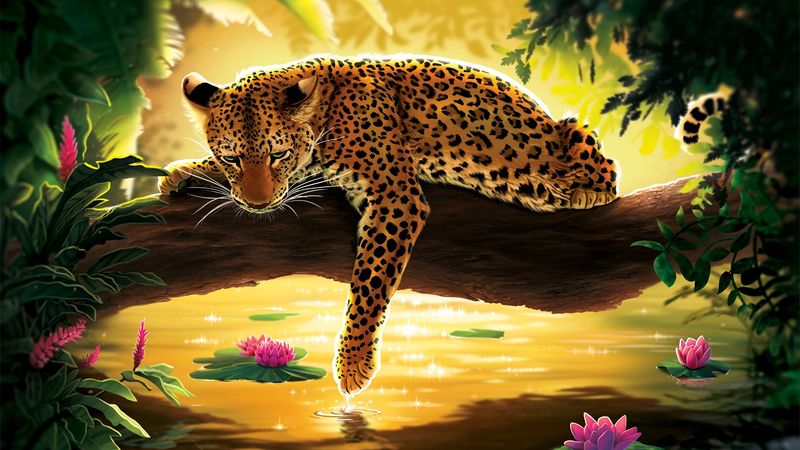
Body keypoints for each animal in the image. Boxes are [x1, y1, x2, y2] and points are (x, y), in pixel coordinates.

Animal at [159, 54, 620, 397]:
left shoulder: (394, 195)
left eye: (278, 154)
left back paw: (587, 191)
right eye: (232, 158)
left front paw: (352, 362)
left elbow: (370, 282)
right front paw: (185, 171)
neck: (326, 115)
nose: (257, 203)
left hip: (570, 141)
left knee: (605, 166)